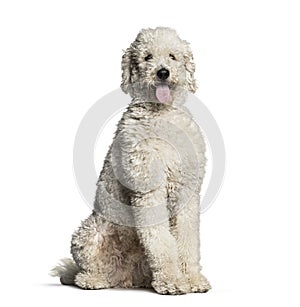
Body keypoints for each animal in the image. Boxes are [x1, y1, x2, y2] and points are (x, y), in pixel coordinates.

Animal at [51, 27, 211, 296]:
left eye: (172, 56)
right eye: (147, 57)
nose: (162, 72)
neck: (161, 114)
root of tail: (123, 277)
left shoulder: (185, 191)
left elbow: (188, 239)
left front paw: (192, 279)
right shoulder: (148, 191)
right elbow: (161, 241)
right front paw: (172, 280)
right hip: (89, 232)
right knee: (83, 271)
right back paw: (93, 280)